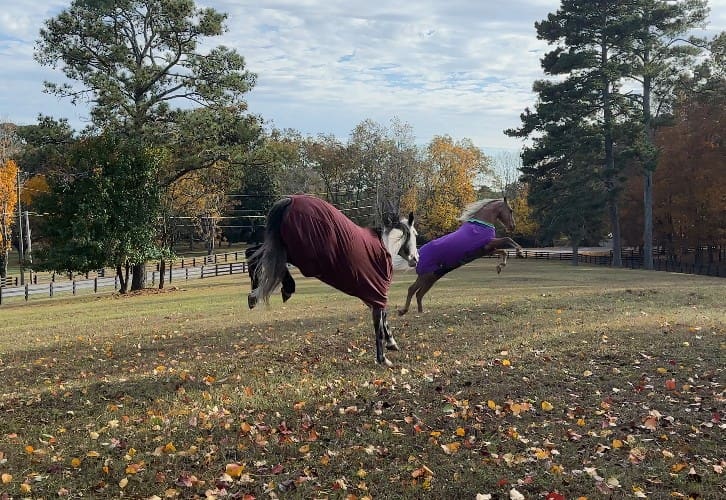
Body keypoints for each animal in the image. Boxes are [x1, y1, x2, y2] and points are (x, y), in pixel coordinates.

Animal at [248, 194, 419, 366]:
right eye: (416, 235)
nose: (416, 259)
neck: (384, 247)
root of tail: (290, 200)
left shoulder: (372, 296)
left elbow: (384, 320)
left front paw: (391, 344)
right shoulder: (377, 293)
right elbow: (379, 325)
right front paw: (383, 358)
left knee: (257, 255)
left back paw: (255, 295)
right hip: (301, 254)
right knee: (259, 256)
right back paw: (276, 290)